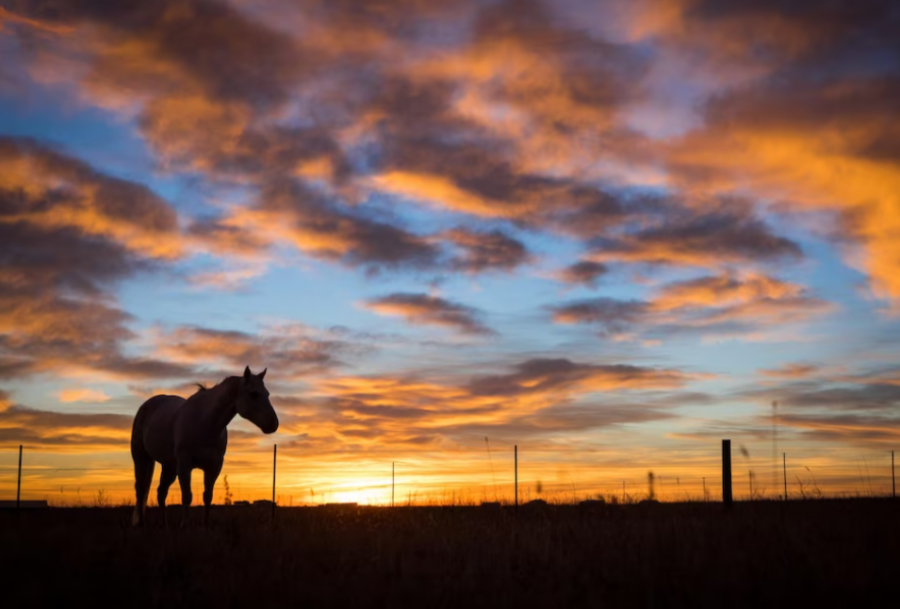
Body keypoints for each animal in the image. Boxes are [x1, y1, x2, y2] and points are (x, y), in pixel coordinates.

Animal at [129, 366, 278, 528]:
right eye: (254, 394)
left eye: (268, 394)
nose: (274, 424)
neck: (205, 422)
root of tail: (148, 404)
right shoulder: (185, 465)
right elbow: (187, 496)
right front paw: (184, 525)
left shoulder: (214, 466)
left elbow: (208, 496)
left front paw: (205, 525)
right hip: (141, 458)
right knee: (141, 489)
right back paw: (141, 523)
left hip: (169, 466)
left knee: (161, 492)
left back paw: (165, 524)